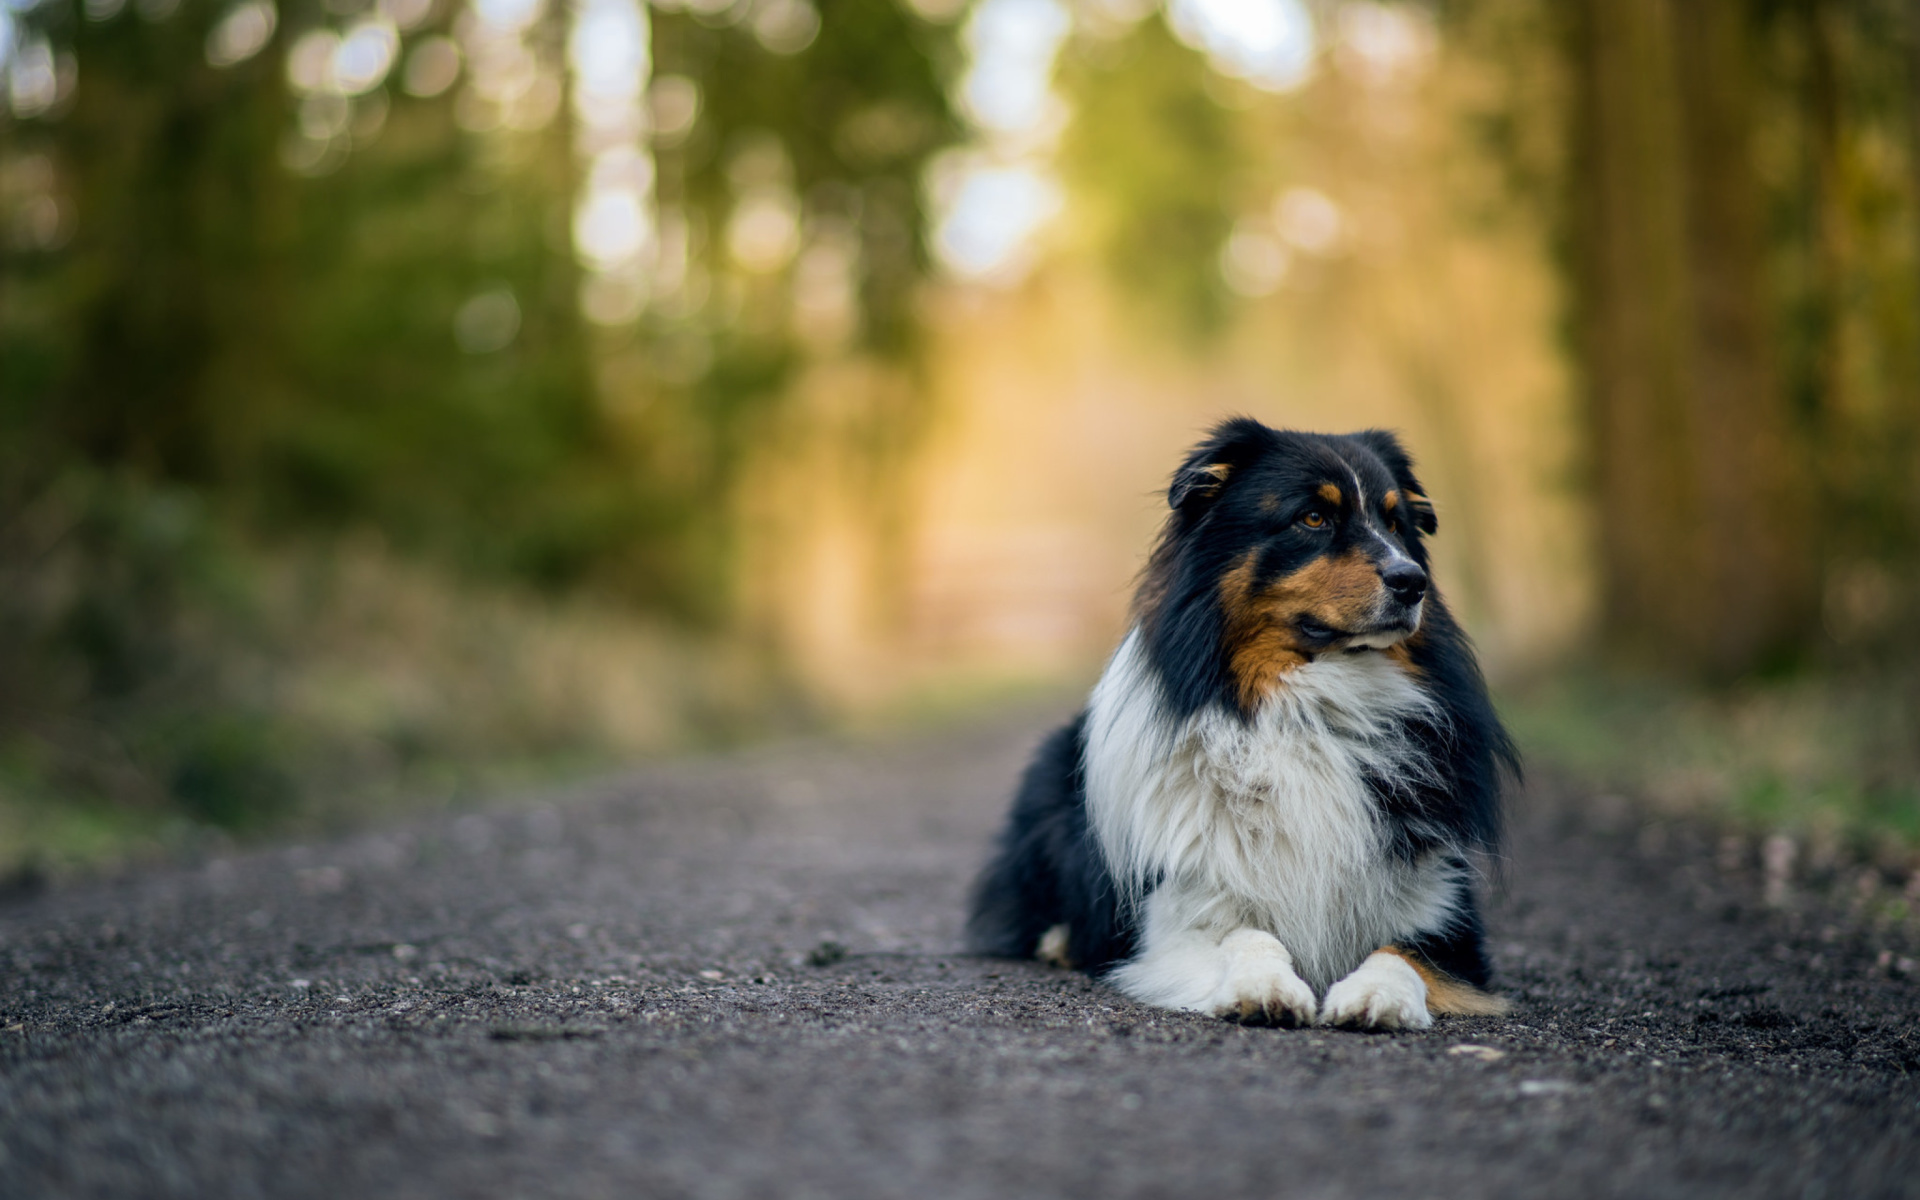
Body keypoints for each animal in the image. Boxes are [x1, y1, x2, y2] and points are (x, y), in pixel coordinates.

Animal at [967, 416, 1520, 1021]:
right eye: (1313, 517)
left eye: (1396, 524)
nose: (1412, 580)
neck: (1307, 707)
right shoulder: (1176, 911)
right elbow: (1247, 934)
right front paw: (1265, 987)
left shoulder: (1444, 911)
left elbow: (1399, 953)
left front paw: (1377, 997)